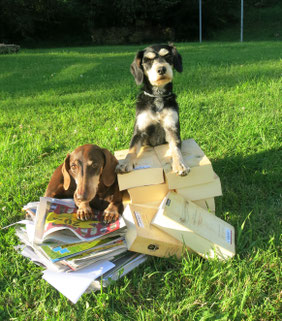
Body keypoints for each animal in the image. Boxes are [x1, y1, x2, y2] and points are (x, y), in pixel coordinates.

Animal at [115, 42, 191, 176]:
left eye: (167, 56)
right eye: (147, 60)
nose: (161, 69)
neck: (157, 96)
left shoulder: (172, 128)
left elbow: (176, 148)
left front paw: (180, 164)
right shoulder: (139, 131)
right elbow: (132, 148)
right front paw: (125, 163)